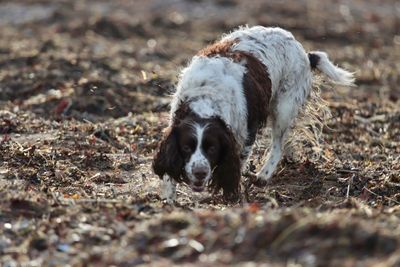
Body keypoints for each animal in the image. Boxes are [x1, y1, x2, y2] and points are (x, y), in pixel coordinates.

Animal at [152, 26, 354, 203]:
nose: (200, 172)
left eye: (212, 148)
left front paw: (231, 195)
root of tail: (305, 53)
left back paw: (263, 175)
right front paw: (169, 199)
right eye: (186, 147)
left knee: (278, 145)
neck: (206, 99)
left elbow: (238, 164)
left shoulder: (246, 135)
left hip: (284, 108)